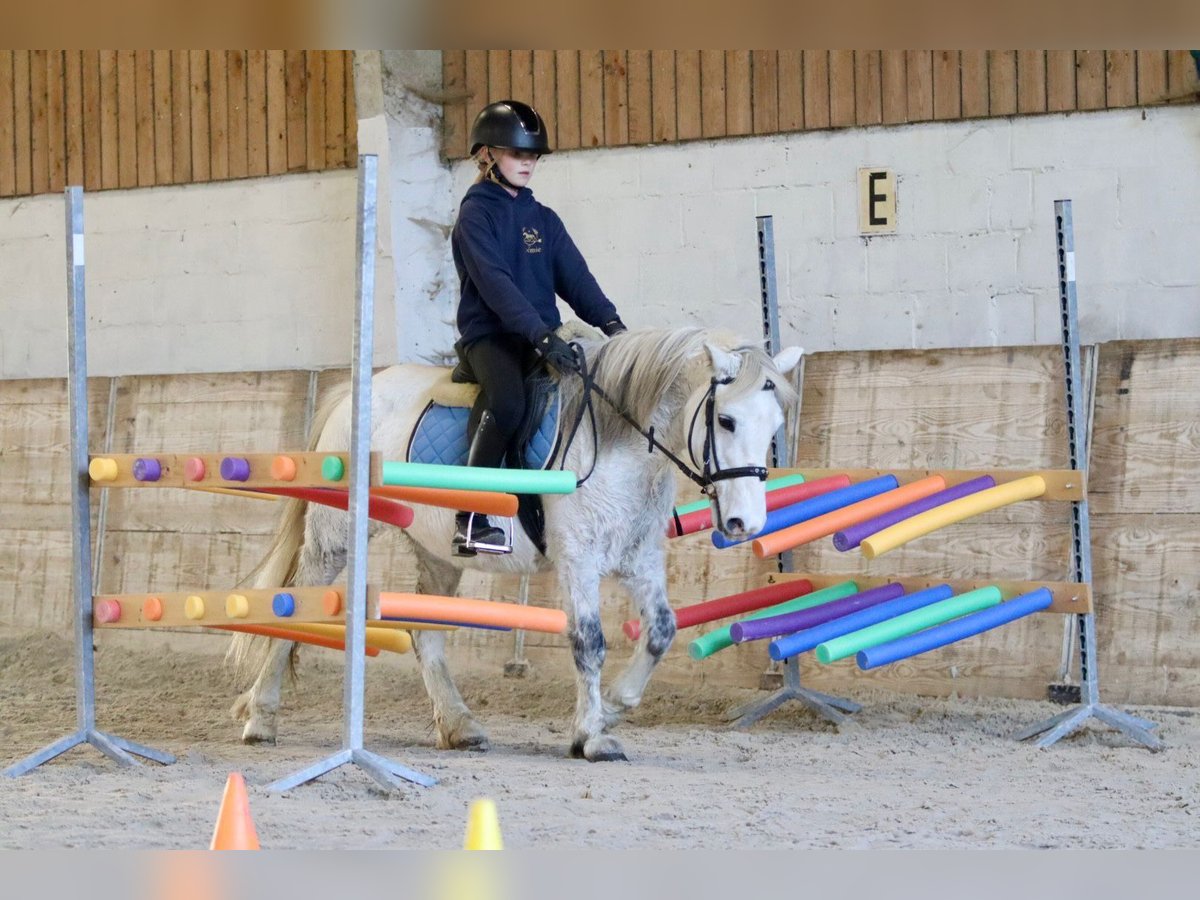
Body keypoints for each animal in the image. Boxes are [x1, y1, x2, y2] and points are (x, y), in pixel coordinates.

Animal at [229, 328, 801, 763]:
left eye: (776, 424)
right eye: (725, 420)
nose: (745, 522)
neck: (621, 443)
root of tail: (355, 391)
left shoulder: (638, 560)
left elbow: (662, 630)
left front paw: (614, 706)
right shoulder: (578, 560)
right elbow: (588, 641)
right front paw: (592, 736)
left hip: (438, 551)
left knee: (424, 633)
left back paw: (460, 727)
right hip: (336, 534)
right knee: (295, 606)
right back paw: (261, 720)